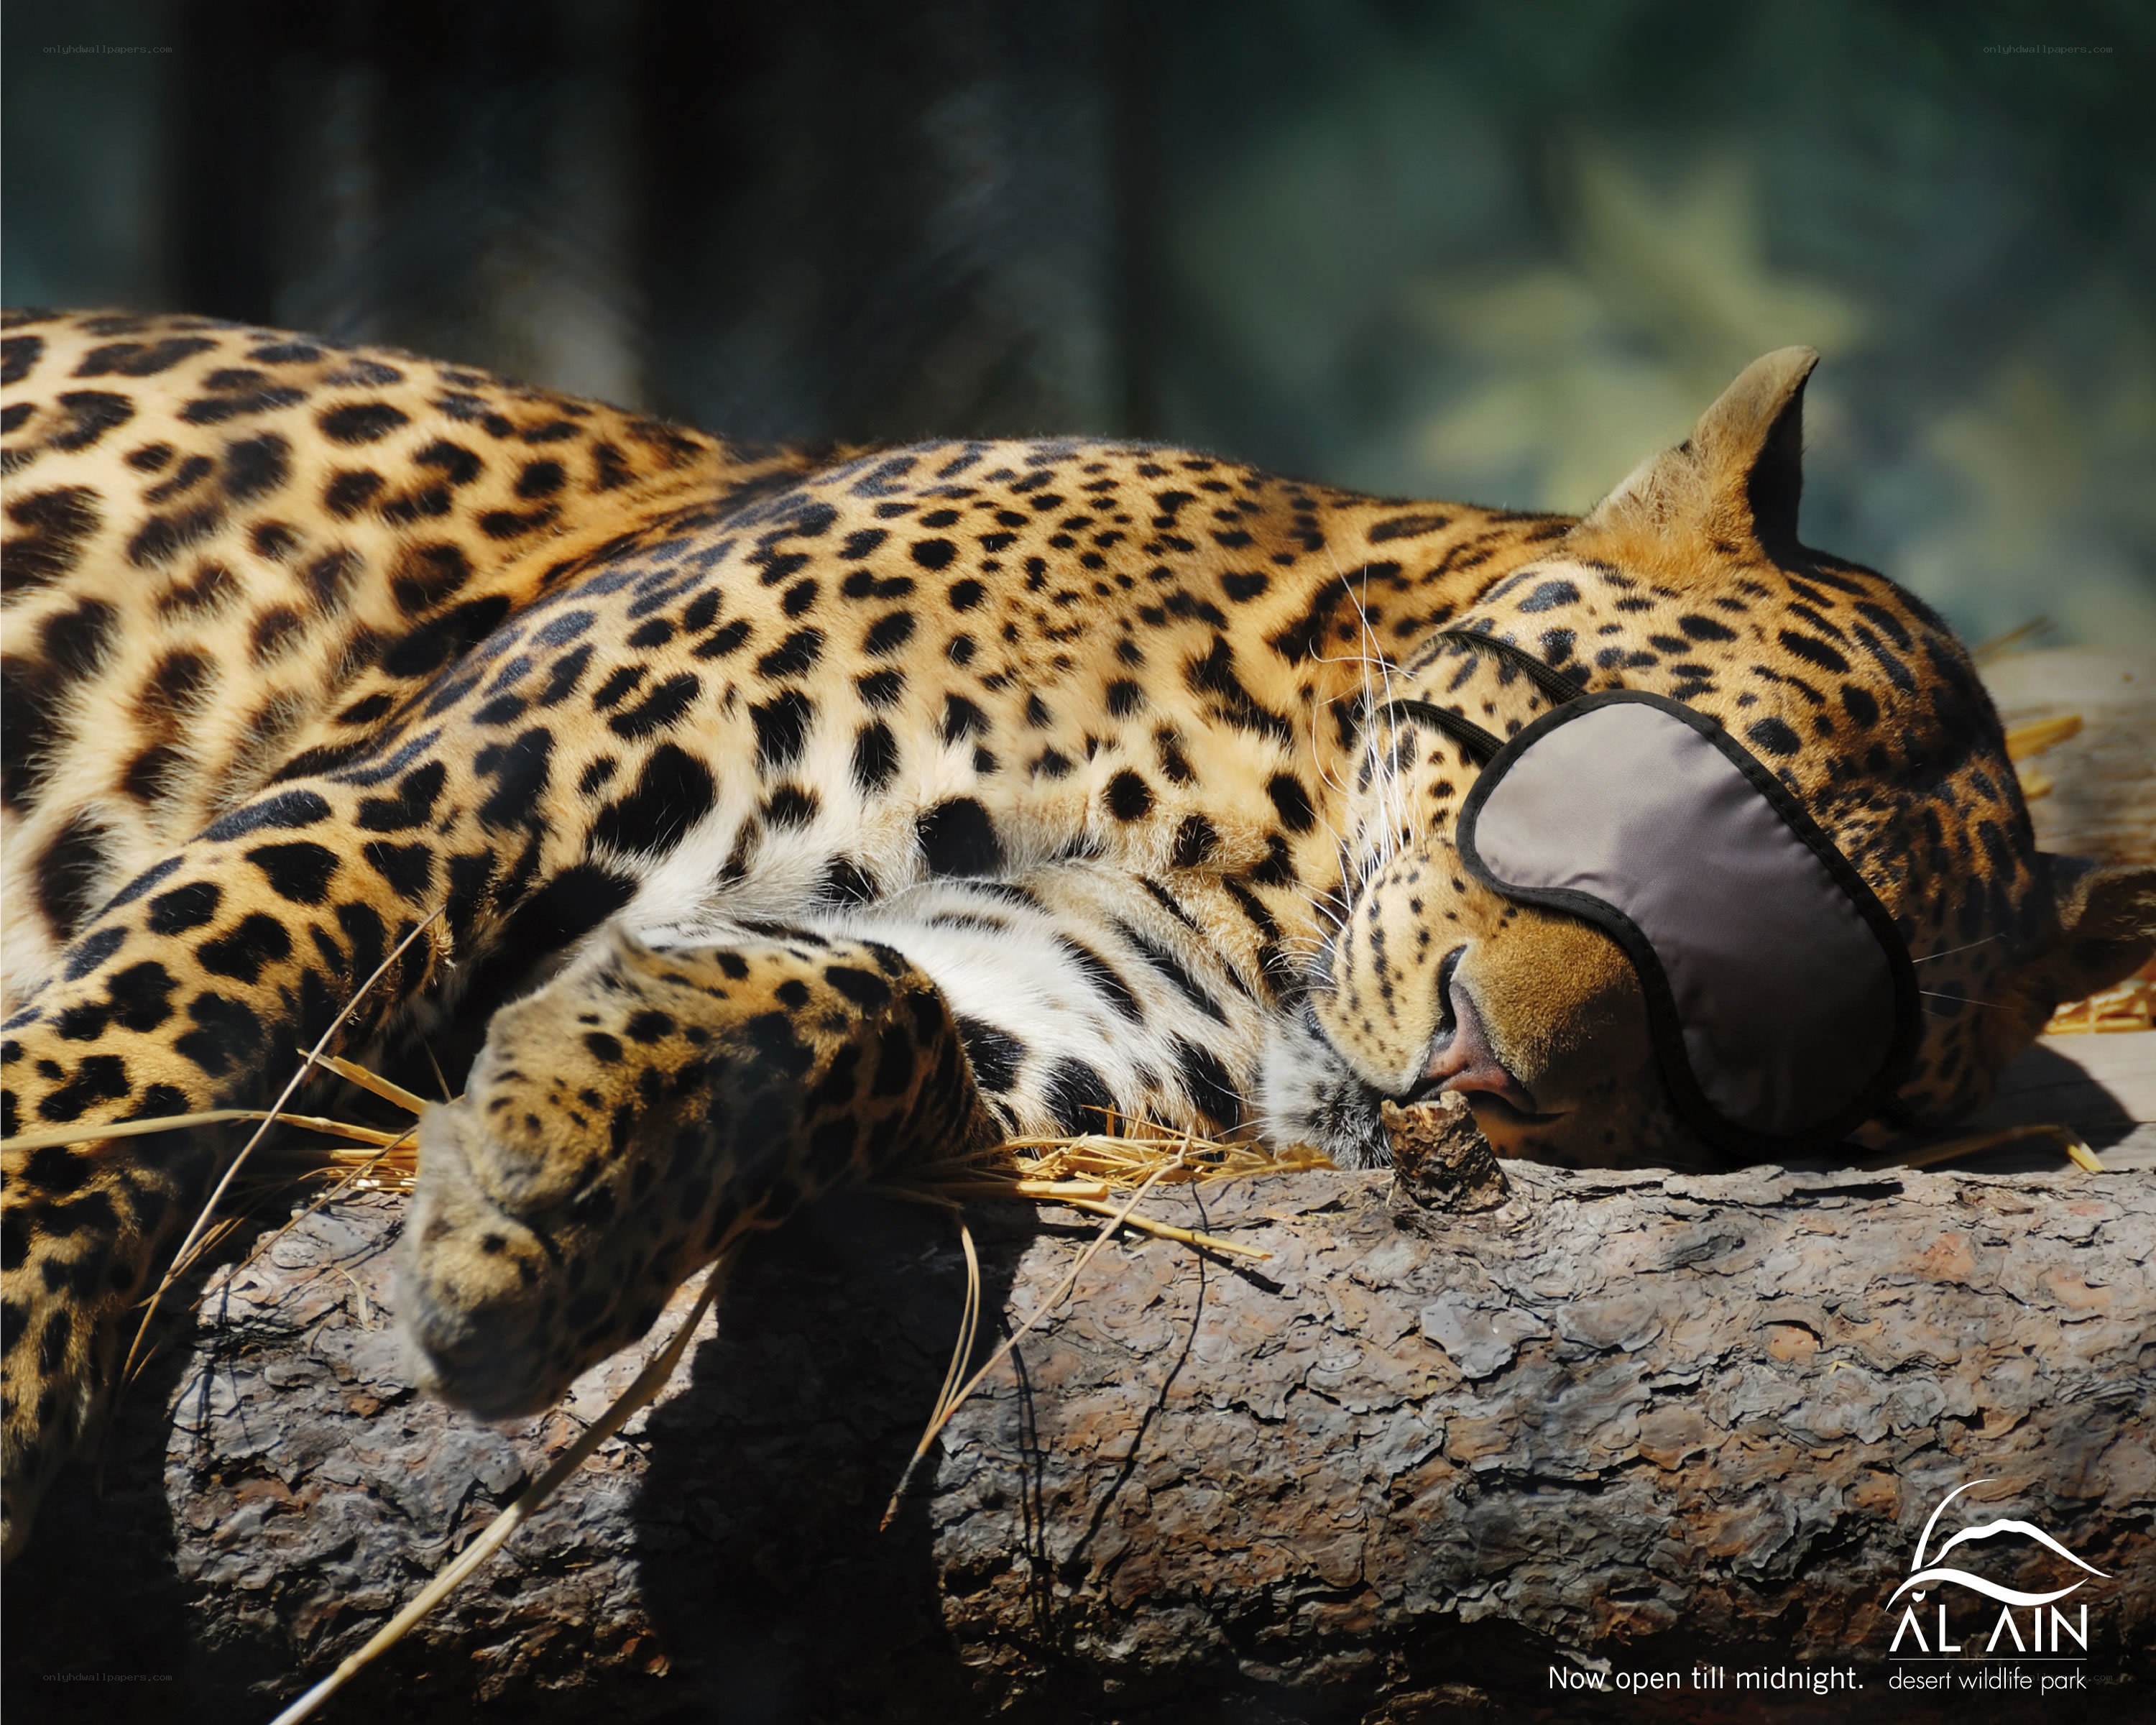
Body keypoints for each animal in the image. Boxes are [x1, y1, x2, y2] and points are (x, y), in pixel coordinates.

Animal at [3, 310, 2150, 1563]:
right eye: (1607, 788)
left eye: (1759, 1054)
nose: (1489, 1069)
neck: (1252, 821)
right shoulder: (452, 788)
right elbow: (130, 1054)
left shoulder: (1050, 996)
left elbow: (859, 999)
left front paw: (554, 1175)